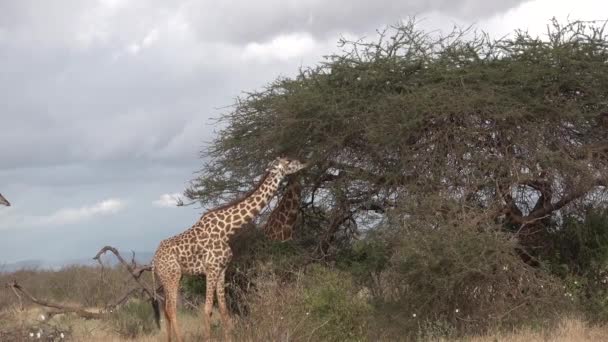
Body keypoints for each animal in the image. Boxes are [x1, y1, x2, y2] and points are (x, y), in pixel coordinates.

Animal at [151, 157, 304, 342]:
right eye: (288, 162)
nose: (303, 163)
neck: (227, 229)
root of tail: (154, 260)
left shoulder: (222, 269)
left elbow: (224, 311)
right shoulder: (211, 268)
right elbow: (208, 309)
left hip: (168, 278)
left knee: (166, 311)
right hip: (172, 276)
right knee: (172, 310)